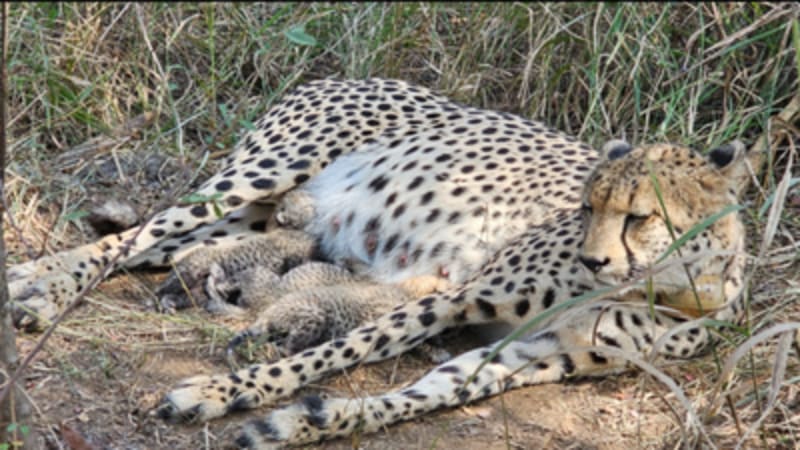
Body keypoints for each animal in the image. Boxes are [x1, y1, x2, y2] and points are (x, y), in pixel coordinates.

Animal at [5, 78, 750, 448]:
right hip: (260, 174)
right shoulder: (457, 295)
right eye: (587, 206)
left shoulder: (536, 354)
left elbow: (418, 394)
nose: (593, 259)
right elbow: (339, 351)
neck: (673, 288)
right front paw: (222, 391)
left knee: (171, 248)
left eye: (640, 216)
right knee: (136, 235)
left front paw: (302, 423)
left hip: (258, 215)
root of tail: (340, 73)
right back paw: (40, 286)